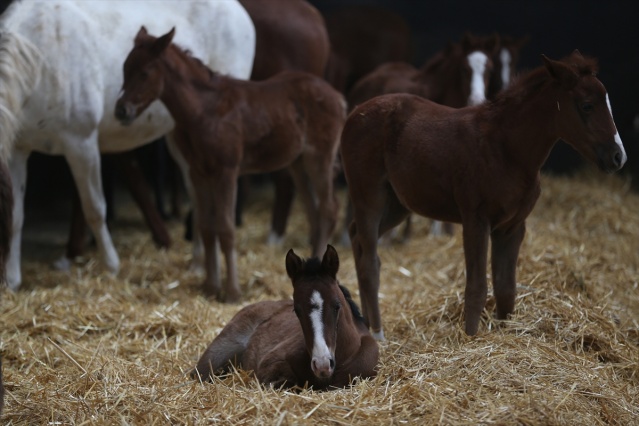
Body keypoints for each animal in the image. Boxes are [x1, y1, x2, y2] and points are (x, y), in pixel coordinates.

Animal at [2, 0, 258, 290]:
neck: (41, 58)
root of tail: (240, 11)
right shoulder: (17, 150)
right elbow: (16, 215)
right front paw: (13, 280)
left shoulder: (81, 144)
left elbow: (95, 208)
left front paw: (112, 266)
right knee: (196, 194)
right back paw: (197, 264)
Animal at [115, 27, 344, 300]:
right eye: (125, 68)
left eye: (145, 72)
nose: (121, 111)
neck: (203, 111)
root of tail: (338, 97)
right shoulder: (199, 172)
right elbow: (206, 226)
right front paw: (210, 286)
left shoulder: (226, 170)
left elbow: (225, 227)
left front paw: (232, 291)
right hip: (298, 162)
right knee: (313, 207)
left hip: (319, 156)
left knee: (329, 208)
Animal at [342, 50, 628, 340]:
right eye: (587, 105)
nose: (618, 156)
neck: (506, 150)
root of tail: (354, 112)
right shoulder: (475, 221)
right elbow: (477, 287)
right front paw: (470, 339)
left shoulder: (512, 227)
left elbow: (505, 288)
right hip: (369, 197)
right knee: (370, 263)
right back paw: (378, 335)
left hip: (397, 204)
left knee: (356, 238)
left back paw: (364, 326)